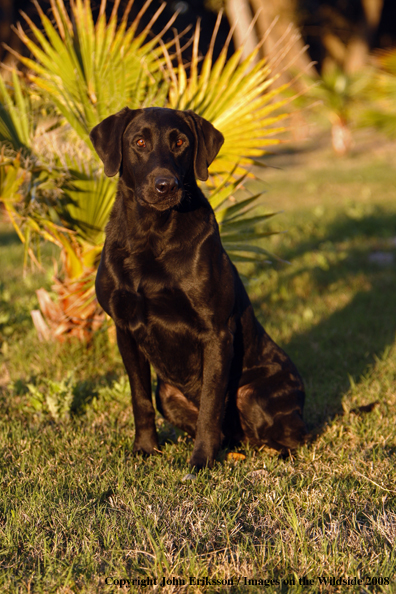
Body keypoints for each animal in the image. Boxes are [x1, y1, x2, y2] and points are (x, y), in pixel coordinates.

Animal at [89, 106, 306, 468]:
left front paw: (200, 461)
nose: (165, 185)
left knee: (290, 437)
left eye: (180, 142)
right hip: (168, 394)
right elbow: (139, 399)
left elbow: (210, 405)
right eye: (139, 142)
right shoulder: (124, 329)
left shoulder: (216, 333)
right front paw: (145, 449)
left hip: (255, 394)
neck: (151, 234)